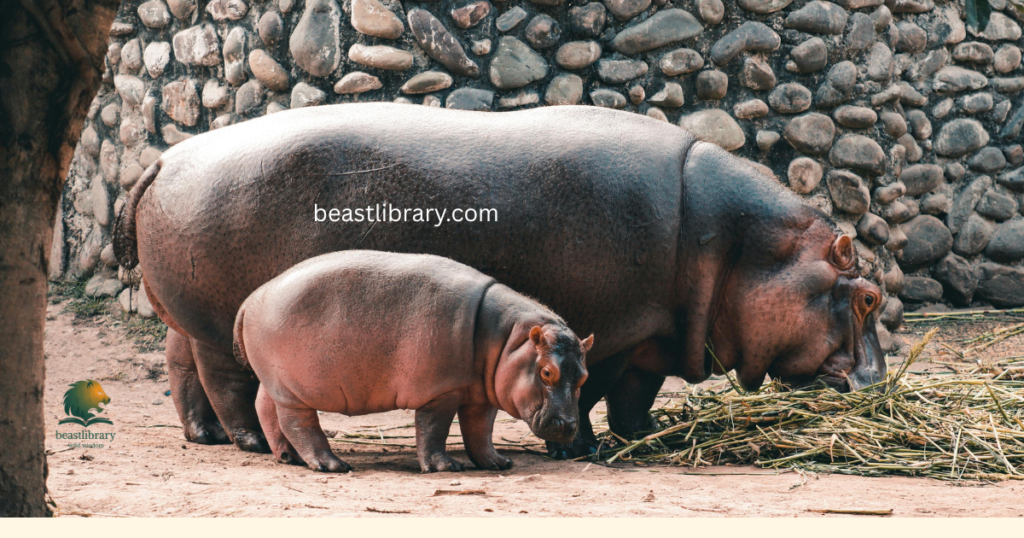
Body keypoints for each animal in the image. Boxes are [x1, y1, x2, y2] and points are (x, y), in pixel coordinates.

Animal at [233, 250, 592, 472]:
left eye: (584, 376)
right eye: (547, 372)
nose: (568, 426)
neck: (509, 339)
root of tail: (250, 300)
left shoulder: (482, 393)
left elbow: (480, 430)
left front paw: (498, 463)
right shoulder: (441, 391)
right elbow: (433, 429)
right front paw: (445, 467)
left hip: (274, 380)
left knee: (265, 406)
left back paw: (288, 457)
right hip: (294, 388)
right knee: (298, 423)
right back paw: (331, 465)